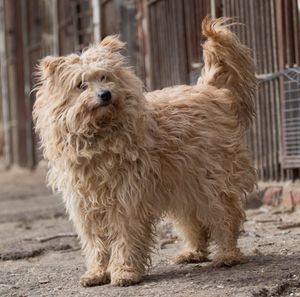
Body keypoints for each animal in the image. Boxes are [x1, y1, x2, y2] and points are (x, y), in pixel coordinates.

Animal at [33, 17, 258, 286]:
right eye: (81, 84)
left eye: (105, 77)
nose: (105, 95)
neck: (100, 135)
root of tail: (210, 90)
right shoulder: (84, 205)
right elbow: (95, 242)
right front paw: (96, 272)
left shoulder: (126, 198)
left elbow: (125, 236)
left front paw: (124, 271)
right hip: (182, 185)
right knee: (192, 220)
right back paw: (192, 252)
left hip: (211, 180)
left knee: (225, 215)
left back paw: (226, 254)